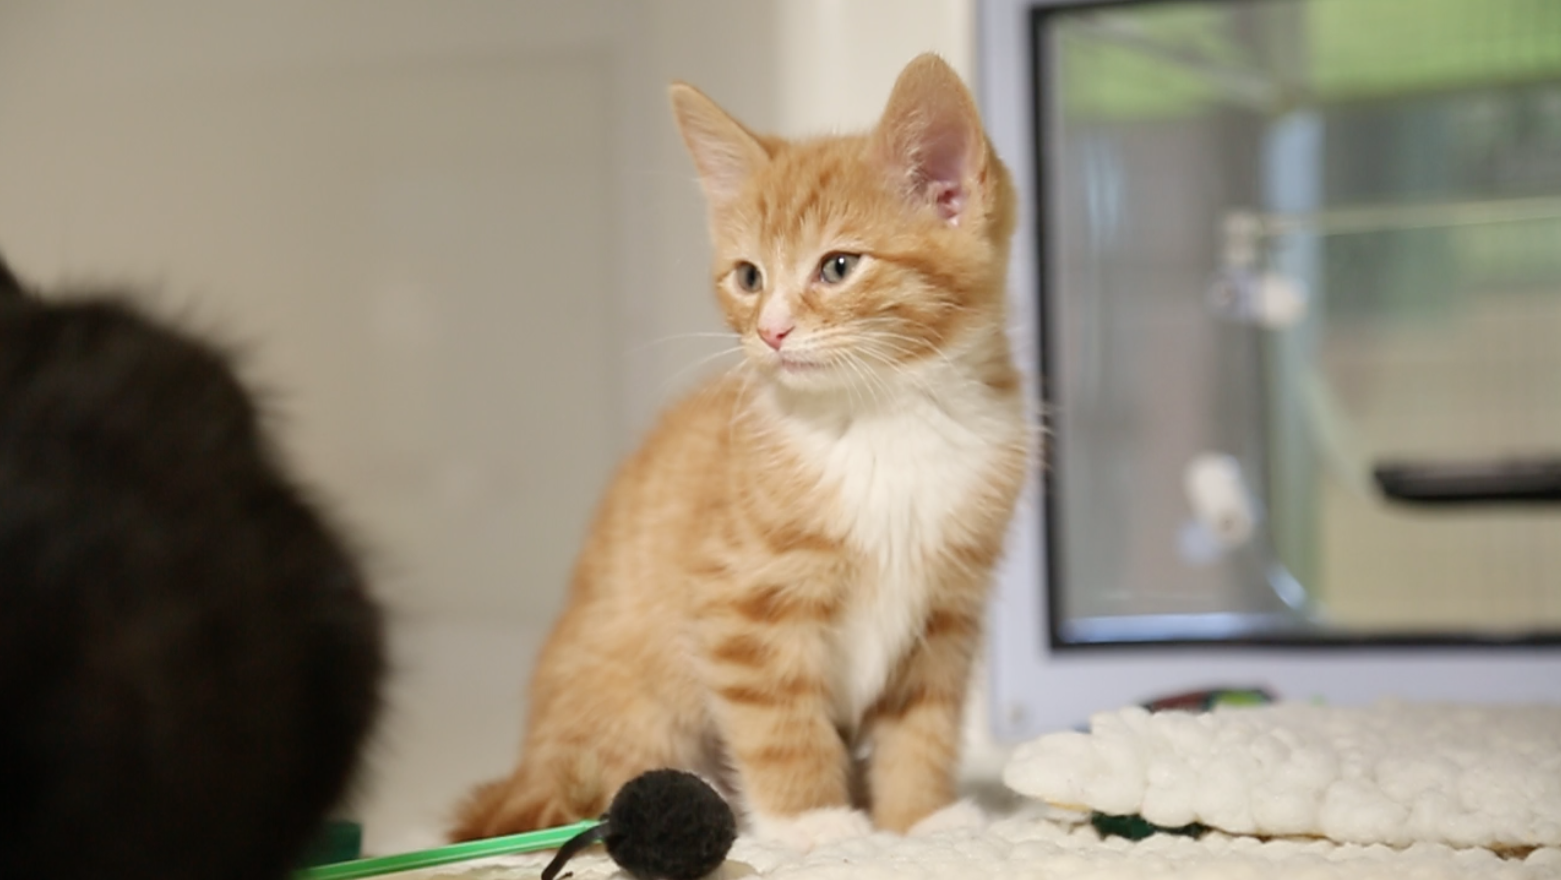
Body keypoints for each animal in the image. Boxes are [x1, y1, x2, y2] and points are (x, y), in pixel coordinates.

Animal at [452, 51, 1030, 842]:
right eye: (749, 277)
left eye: (838, 266)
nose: (771, 332)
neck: (884, 416)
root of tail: (526, 772)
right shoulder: (741, 600)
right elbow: (777, 719)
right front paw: (817, 823)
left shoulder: (948, 607)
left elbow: (925, 721)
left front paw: (918, 819)